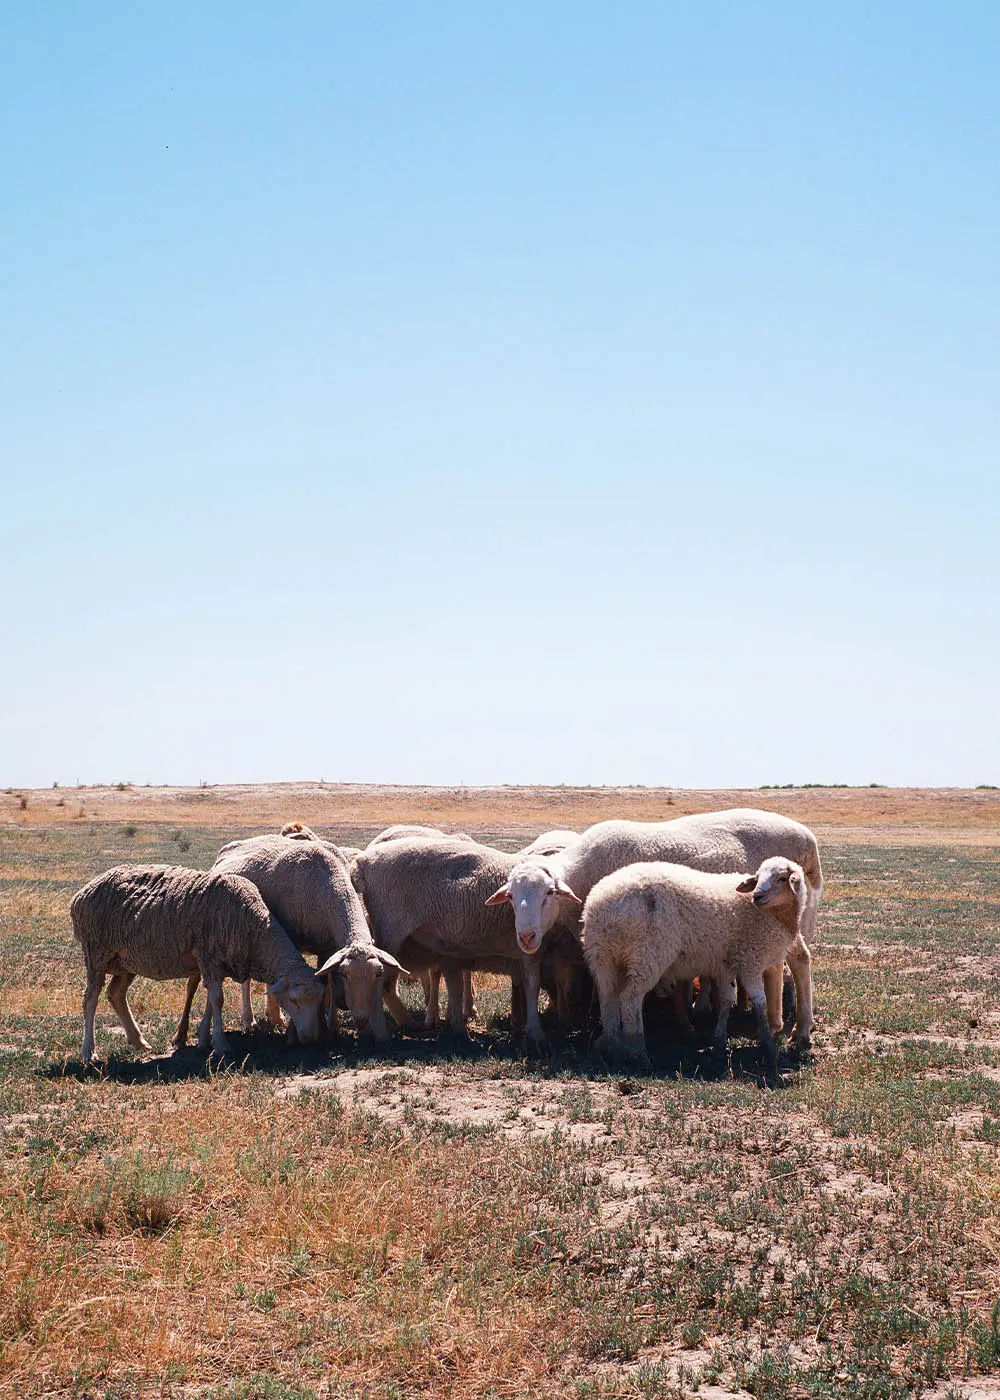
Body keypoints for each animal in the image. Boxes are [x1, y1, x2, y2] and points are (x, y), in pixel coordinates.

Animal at [73, 862, 323, 1058]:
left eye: (320, 1000)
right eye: (294, 1000)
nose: (311, 1039)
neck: (255, 930)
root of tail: (81, 894)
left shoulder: (214, 965)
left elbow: (212, 1002)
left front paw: (204, 1039)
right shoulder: (209, 957)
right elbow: (218, 1000)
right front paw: (221, 1045)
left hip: (125, 961)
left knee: (116, 994)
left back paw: (138, 1041)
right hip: (95, 952)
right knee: (90, 999)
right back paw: (88, 1052)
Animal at [175, 828, 406, 1052]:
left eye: (379, 973)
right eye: (345, 974)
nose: (363, 1020)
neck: (328, 883)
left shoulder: (327, 948)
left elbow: (326, 984)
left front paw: (328, 1028)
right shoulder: (293, 942)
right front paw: (295, 1034)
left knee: (245, 979)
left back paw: (258, 1020)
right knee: (194, 983)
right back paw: (184, 1034)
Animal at [481, 812, 817, 1041]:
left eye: (549, 893)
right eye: (510, 897)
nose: (526, 937)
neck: (581, 871)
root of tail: (807, 836)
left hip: (783, 913)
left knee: (800, 959)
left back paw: (800, 1030)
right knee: (780, 964)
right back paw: (776, 1024)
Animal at [577, 851, 812, 1069]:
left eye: (782, 878)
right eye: (758, 876)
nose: (757, 896)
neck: (775, 917)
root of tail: (600, 903)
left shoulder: (727, 963)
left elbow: (726, 1000)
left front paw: (719, 1043)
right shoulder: (750, 960)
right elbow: (760, 1001)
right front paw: (768, 1045)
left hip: (603, 956)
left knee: (608, 999)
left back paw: (613, 1047)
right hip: (648, 954)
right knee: (630, 998)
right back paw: (638, 1052)